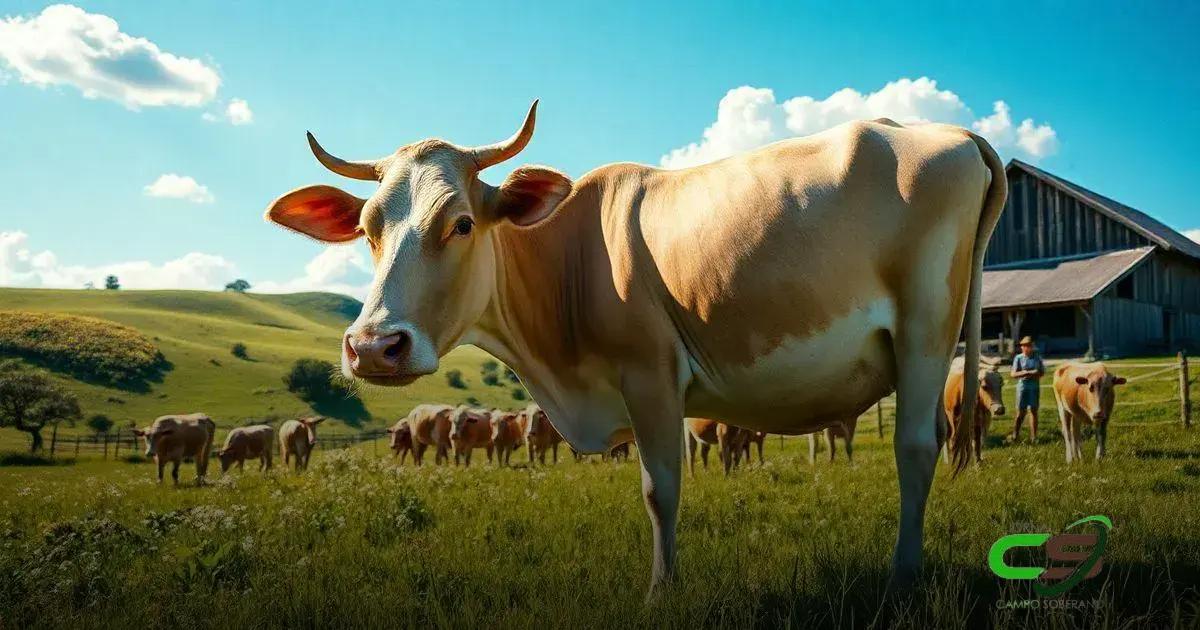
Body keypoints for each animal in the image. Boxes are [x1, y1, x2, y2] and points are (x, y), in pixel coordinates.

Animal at [264, 101, 1006, 595]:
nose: (373, 346)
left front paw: (660, 590)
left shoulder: (649, 374)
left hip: (924, 330)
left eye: (463, 223)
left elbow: (660, 488)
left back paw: (902, 578)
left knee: (916, 448)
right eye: (367, 229)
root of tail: (949, 132)